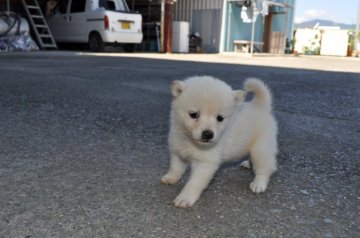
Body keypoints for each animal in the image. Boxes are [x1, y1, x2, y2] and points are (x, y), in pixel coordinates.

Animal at [161, 75, 278, 207]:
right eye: (194, 114)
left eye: (220, 118)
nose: (208, 134)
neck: (191, 141)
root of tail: (261, 106)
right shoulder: (177, 152)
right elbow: (175, 168)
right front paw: (171, 178)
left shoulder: (205, 163)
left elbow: (194, 182)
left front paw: (185, 198)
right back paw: (248, 164)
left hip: (261, 148)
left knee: (266, 168)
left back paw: (259, 184)